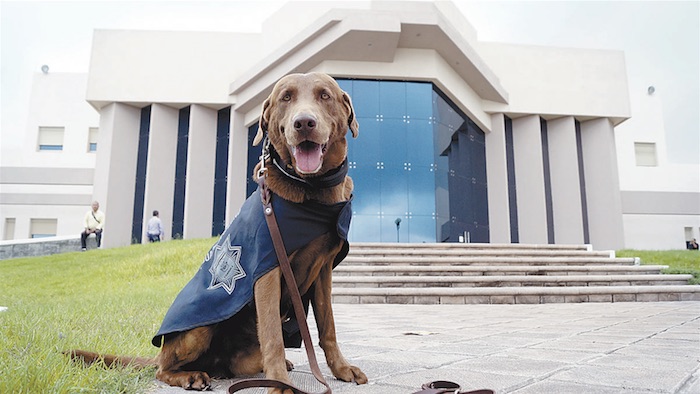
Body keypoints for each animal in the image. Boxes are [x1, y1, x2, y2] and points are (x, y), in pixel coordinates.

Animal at [67, 73, 366, 390]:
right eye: (286, 97)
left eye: (325, 96)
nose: (304, 122)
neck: (312, 192)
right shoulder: (267, 269)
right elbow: (273, 333)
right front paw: (280, 384)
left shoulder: (323, 271)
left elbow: (328, 326)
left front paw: (341, 369)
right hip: (198, 330)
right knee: (161, 368)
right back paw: (191, 375)